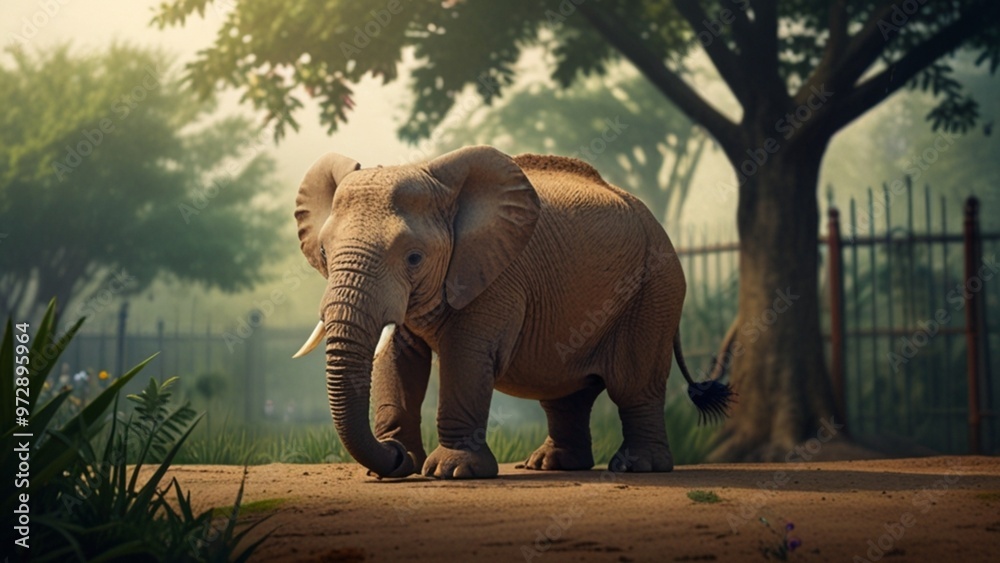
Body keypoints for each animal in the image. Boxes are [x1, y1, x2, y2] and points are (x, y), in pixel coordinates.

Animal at [292, 145, 732, 479]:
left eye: (414, 258)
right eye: (325, 253)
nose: (395, 457)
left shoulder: (497, 278)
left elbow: (465, 357)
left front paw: (451, 472)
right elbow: (398, 359)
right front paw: (396, 466)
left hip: (655, 290)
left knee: (633, 384)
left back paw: (637, 467)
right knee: (563, 391)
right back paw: (552, 466)